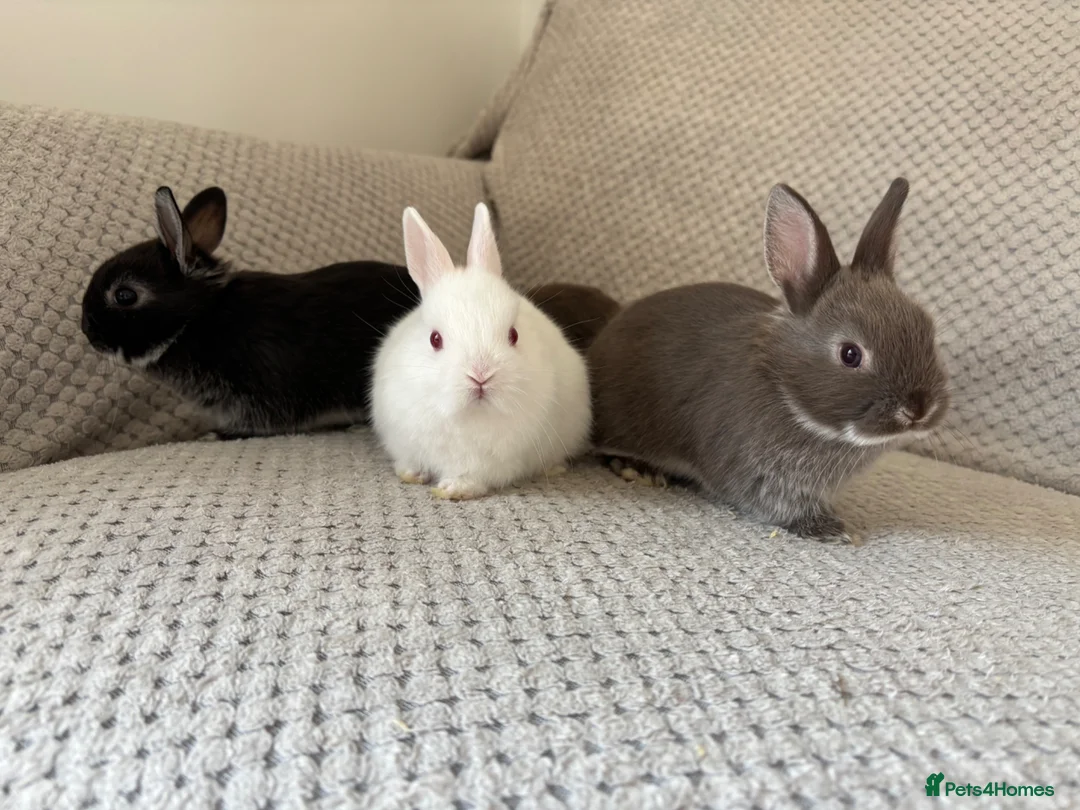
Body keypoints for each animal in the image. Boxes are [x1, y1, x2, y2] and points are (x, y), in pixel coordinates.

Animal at [371, 203, 592, 500]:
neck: (467, 415)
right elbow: (411, 462)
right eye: (435, 339)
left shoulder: (488, 462)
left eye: (513, 335)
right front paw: (411, 475)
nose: (481, 375)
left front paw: (453, 490)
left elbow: (470, 477)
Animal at [587, 178, 949, 541]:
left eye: (927, 331)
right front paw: (828, 529)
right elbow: (774, 505)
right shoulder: (754, 472)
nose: (918, 409)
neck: (786, 392)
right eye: (850, 354)